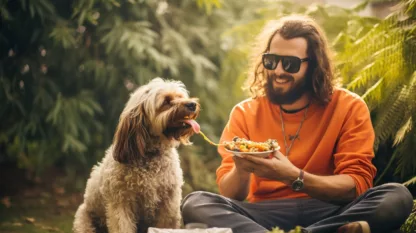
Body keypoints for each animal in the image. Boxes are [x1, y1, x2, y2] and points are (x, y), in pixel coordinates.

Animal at [73, 78, 202, 233]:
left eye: (180, 96)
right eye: (166, 101)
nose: (192, 104)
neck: (151, 155)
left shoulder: (168, 204)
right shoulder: (121, 204)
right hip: (84, 220)